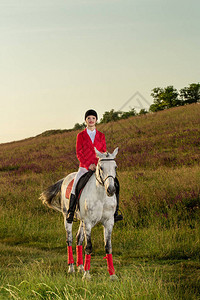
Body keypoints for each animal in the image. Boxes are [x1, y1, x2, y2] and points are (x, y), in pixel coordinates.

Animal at [40, 148, 119, 282]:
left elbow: (108, 247)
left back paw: (81, 266)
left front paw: (112, 275)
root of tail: (66, 178)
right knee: (70, 240)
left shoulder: (108, 222)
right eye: (101, 167)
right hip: (68, 218)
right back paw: (71, 267)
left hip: (82, 221)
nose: (111, 190)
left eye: (115, 167)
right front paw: (87, 275)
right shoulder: (88, 222)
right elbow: (89, 246)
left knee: (78, 239)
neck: (101, 196)